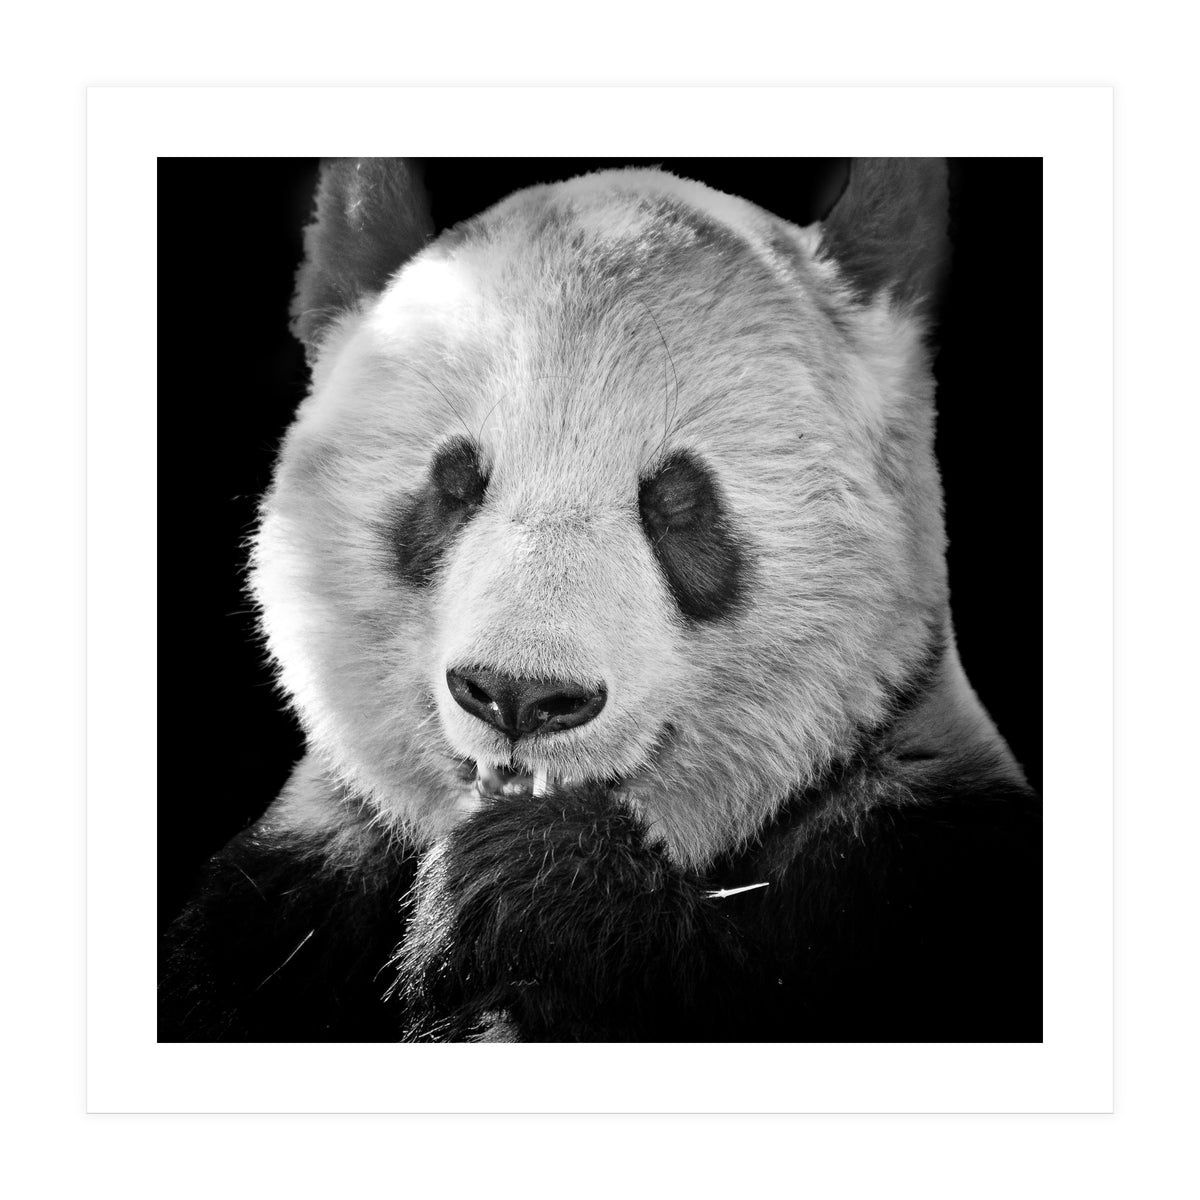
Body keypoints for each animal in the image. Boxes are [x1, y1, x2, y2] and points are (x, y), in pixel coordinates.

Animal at [159, 158, 1041, 1043]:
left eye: (678, 502)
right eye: (454, 484)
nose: (519, 695)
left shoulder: (915, 860)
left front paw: (536, 888)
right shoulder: (288, 896)